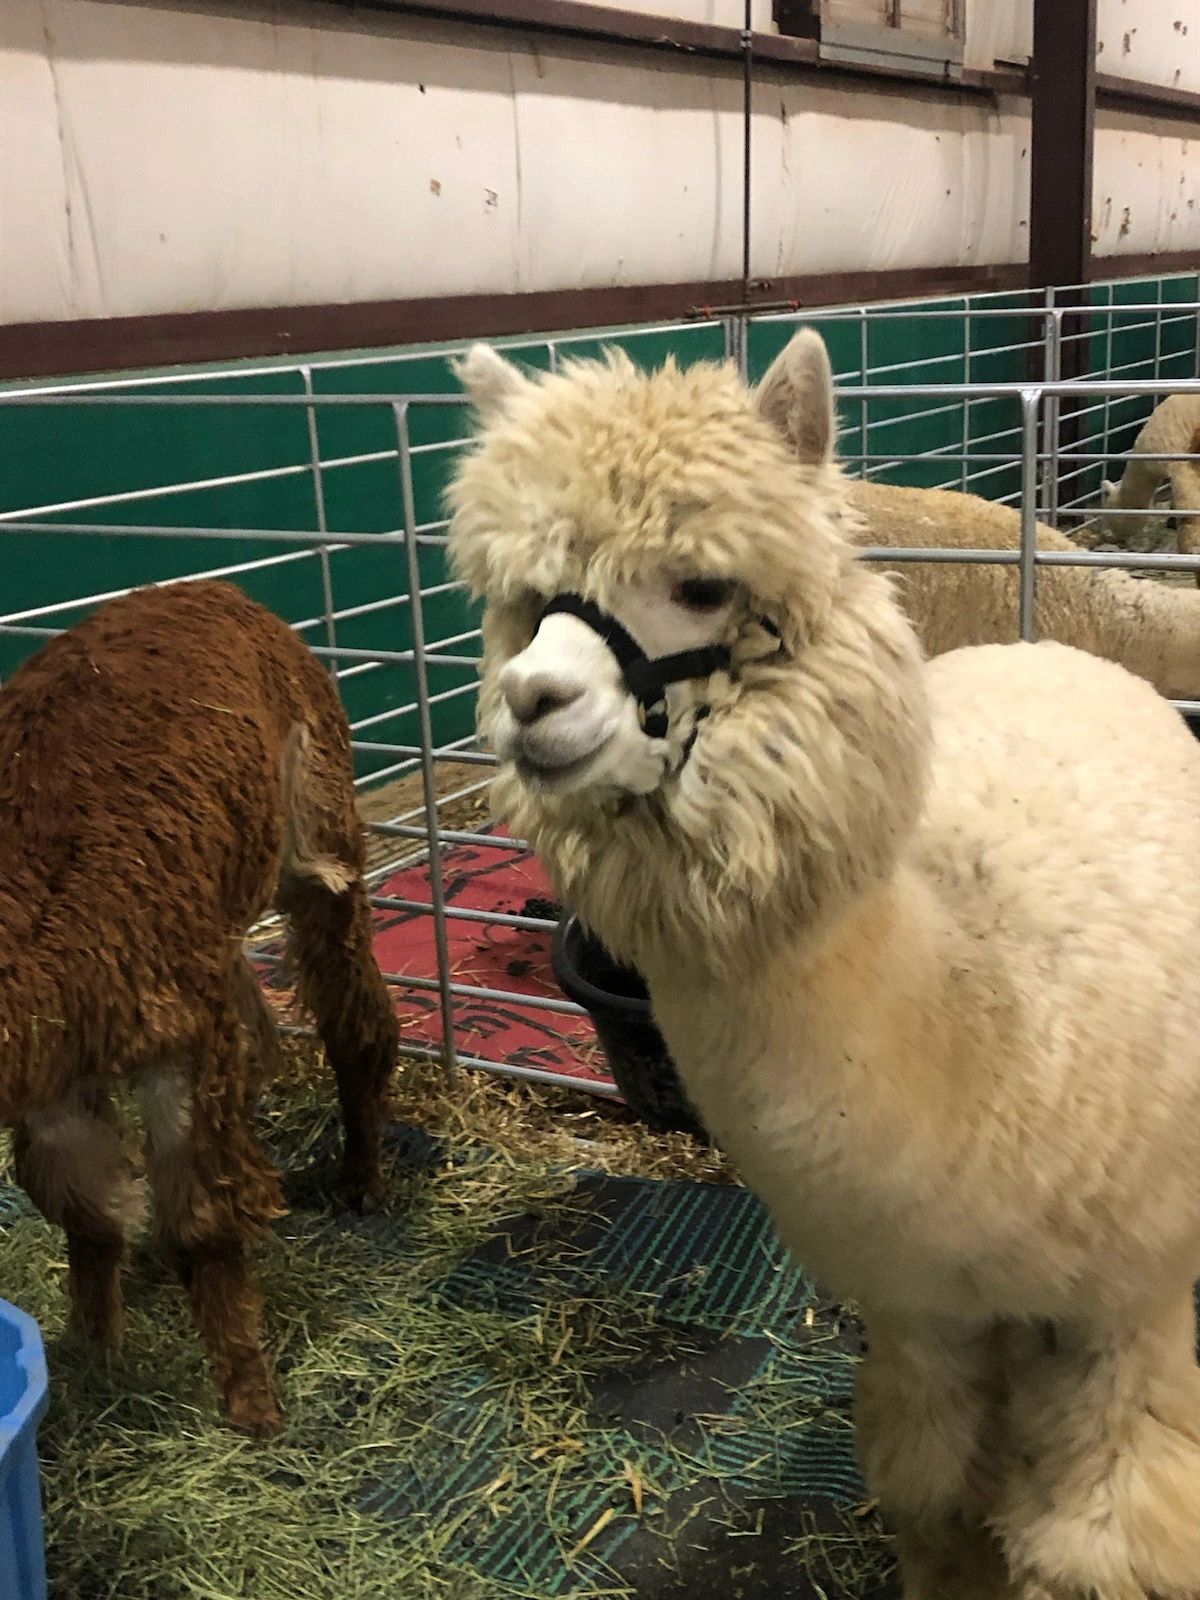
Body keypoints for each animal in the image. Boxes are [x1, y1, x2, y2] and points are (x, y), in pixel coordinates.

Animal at [448, 328, 1200, 1600]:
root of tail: (1051, 644)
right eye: (529, 600)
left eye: (701, 583)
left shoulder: (1134, 1304)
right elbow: (937, 1498)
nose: (529, 701)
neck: (985, 1028)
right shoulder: (924, 1315)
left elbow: (1098, 1554)